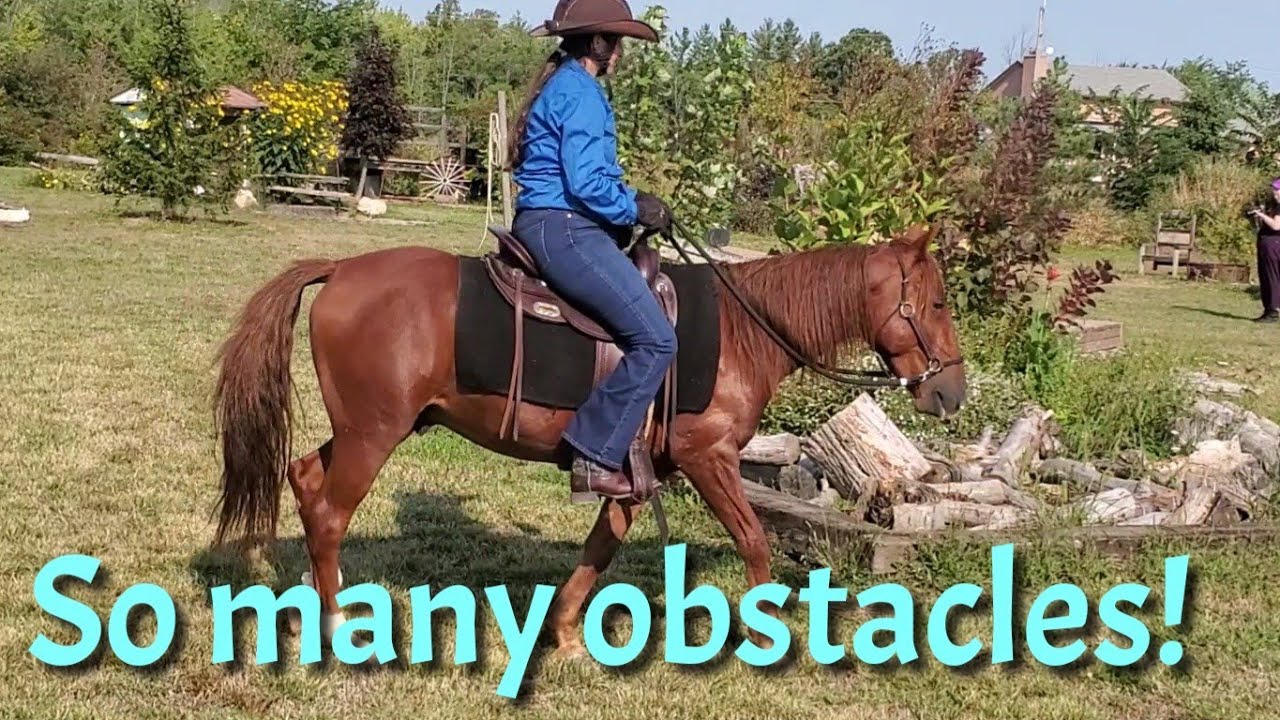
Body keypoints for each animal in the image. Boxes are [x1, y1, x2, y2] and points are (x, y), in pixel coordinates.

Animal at [212, 223, 966, 654]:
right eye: (935, 302)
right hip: (373, 435)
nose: (951, 392)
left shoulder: (640, 470)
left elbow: (601, 546)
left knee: (305, 481)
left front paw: (567, 634)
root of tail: (340, 269)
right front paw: (764, 636)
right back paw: (338, 625)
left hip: (361, 431)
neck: (742, 333)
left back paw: (311, 601)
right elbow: (755, 541)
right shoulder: (707, 458)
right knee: (330, 514)